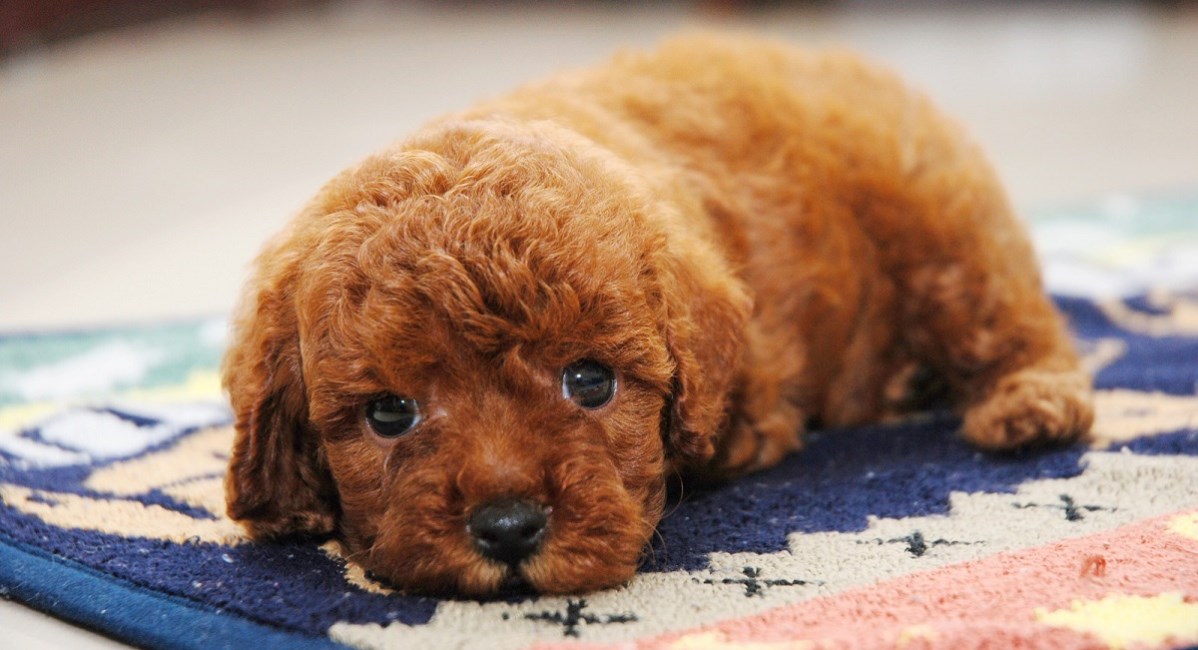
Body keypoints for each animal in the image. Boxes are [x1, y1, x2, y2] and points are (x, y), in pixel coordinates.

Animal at [222, 33, 1097, 598]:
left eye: (590, 382)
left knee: (1009, 312)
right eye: (388, 414)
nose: (507, 527)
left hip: (944, 226)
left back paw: (1033, 402)